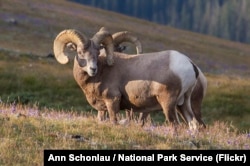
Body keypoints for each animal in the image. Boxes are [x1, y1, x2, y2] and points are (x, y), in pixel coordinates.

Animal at [53, 27, 200, 130]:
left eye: (97, 52)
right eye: (80, 52)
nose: (93, 69)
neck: (102, 72)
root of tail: (189, 64)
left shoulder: (112, 101)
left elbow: (114, 121)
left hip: (168, 103)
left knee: (175, 125)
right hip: (183, 104)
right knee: (193, 124)